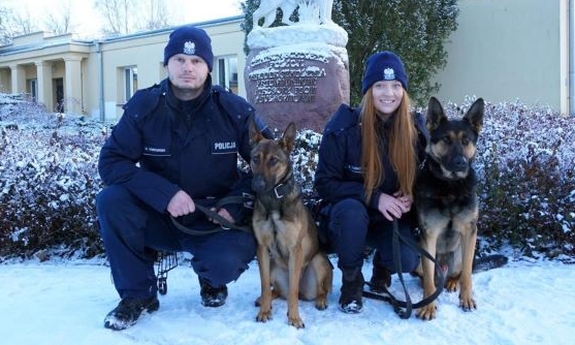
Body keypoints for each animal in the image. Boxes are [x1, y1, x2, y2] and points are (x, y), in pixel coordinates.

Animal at [249, 119, 332, 326]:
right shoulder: (262, 248)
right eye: (255, 158)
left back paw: (321, 301)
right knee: (277, 292)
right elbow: (264, 285)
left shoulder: (295, 249)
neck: (273, 200)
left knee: (316, 291)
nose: (258, 185)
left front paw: (294, 318)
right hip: (272, 266)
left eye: (273, 160)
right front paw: (264, 311)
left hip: (319, 261)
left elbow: (293, 291)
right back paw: (264, 300)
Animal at [416, 95, 484, 318]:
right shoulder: (428, 235)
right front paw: (428, 305)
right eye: (446, 139)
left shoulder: (470, 231)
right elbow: (429, 276)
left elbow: (468, 275)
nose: (460, 162)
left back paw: (453, 282)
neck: (450, 186)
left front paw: (467, 298)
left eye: (466, 140)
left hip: (459, 254)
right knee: (427, 276)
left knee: (460, 272)